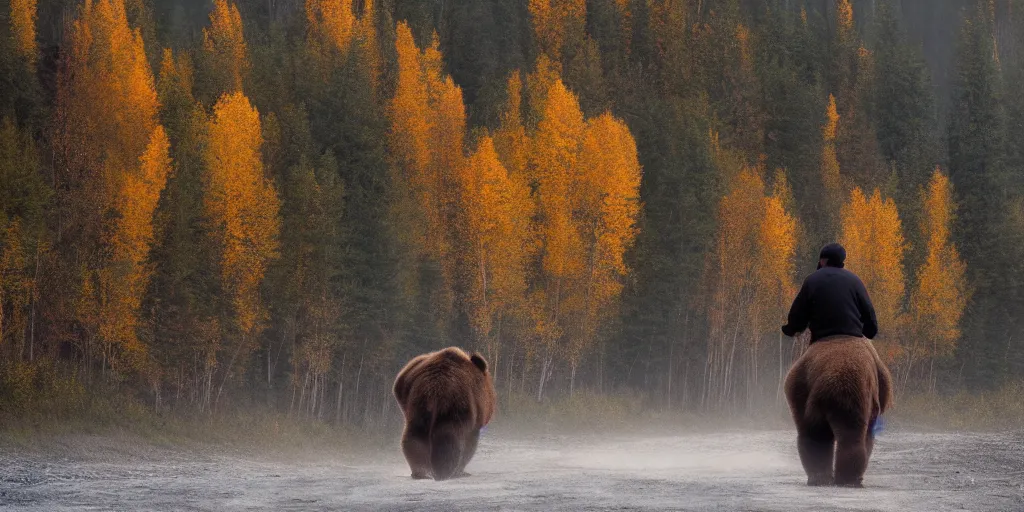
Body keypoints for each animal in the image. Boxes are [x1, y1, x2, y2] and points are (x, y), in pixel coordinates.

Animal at [391, 346, 495, 481]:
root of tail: (435, 387)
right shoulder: (473, 417)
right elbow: (469, 444)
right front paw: (461, 470)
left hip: (416, 405)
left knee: (415, 435)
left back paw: (422, 472)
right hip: (454, 405)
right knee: (448, 435)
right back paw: (444, 471)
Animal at [782, 335, 897, 487]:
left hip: (801, 389)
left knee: (814, 435)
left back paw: (819, 477)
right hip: (851, 395)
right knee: (851, 435)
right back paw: (849, 479)